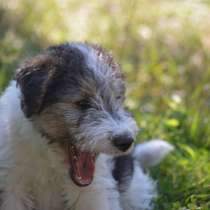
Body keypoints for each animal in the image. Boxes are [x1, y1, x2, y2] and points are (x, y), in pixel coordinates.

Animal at [0, 41, 173, 209]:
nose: (125, 141)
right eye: (82, 103)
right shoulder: (12, 185)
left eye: (117, 99)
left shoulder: (93, 190)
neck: (49, 157)